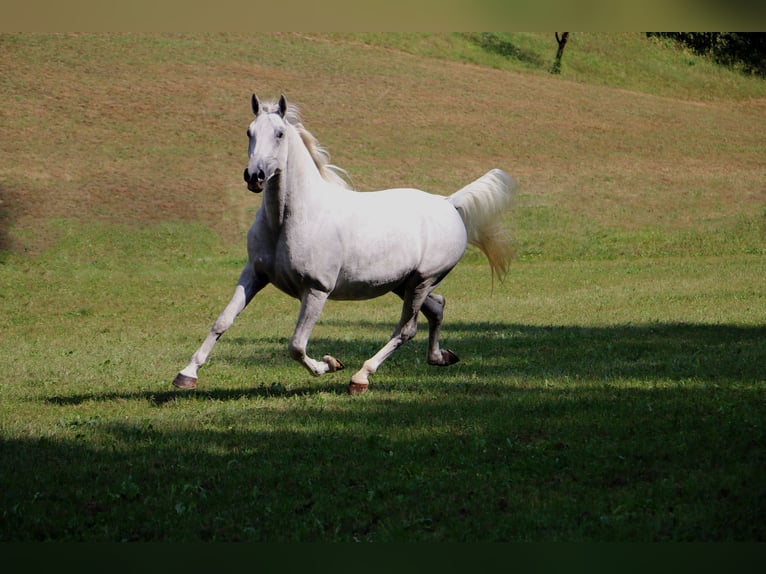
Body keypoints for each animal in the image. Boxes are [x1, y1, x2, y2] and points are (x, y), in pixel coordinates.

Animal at [176, 95, 516, 396]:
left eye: (280, 133)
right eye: (249, 131)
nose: (254, 176)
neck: (290, 220)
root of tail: (448, 203)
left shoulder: (316, 290)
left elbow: (296, 346)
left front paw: (329, 364)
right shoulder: (254, 275)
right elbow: (222, 321)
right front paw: (186, 374)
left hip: (422, 280)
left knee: (406, 329)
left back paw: (360, 377)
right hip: (403, 284)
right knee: (437, 307)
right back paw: (441, 357)